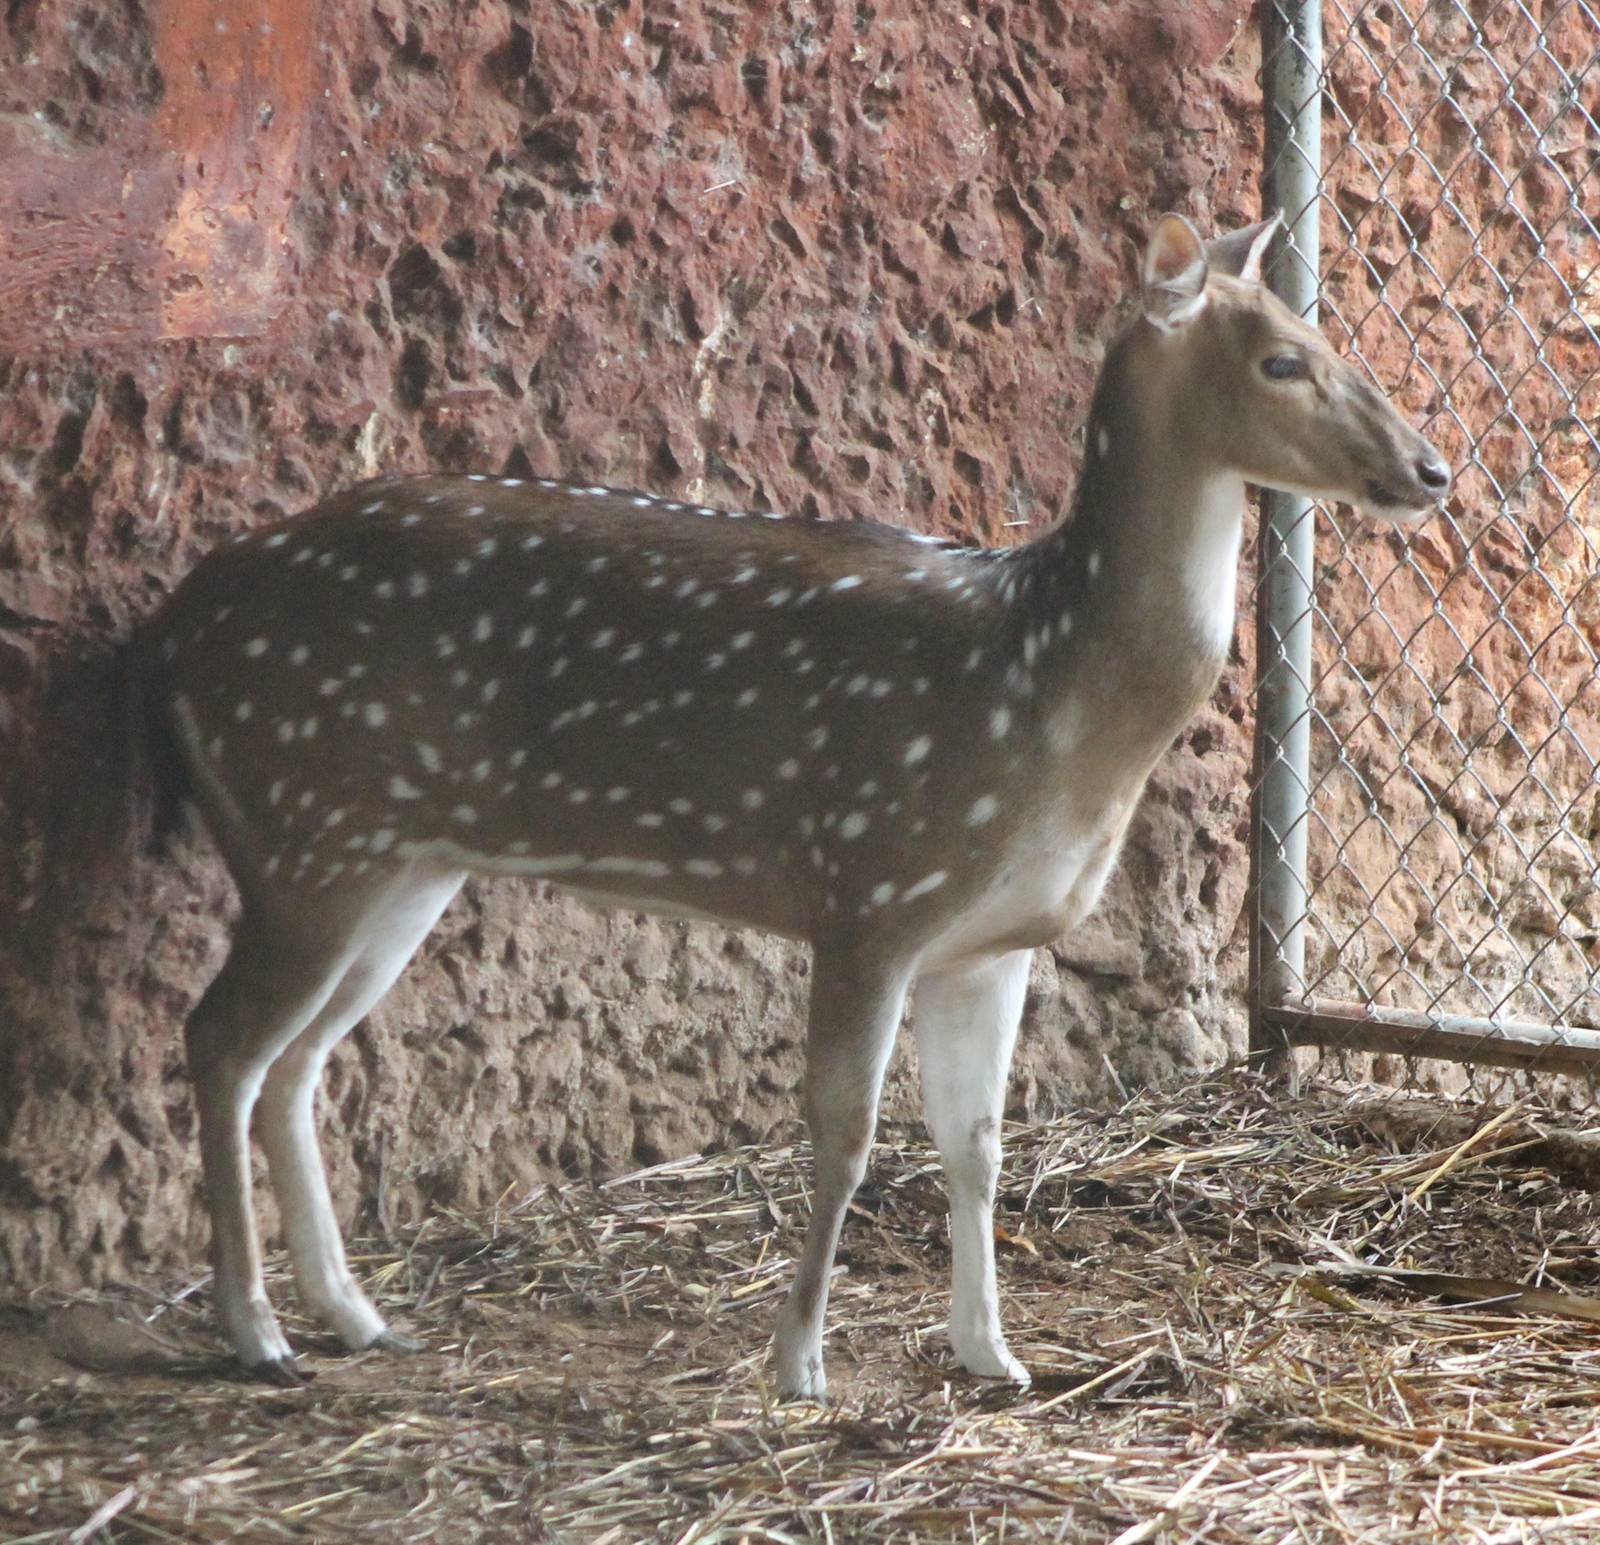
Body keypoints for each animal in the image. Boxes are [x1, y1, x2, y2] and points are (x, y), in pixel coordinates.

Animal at [137, 213, 1449, 1397]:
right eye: (1280, 358)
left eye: (1320, 327)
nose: (1432, 470)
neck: (1051, 692)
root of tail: (177, 621)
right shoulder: (869, 885)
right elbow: (846, 1132)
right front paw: (800, 1363)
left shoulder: (991, 939)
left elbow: (975, 1146)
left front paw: (993, 1356)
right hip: (307, 822)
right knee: (221, 1039)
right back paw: (255, 1335)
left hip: (397, 857)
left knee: (298, 1060)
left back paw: (355, 1318)